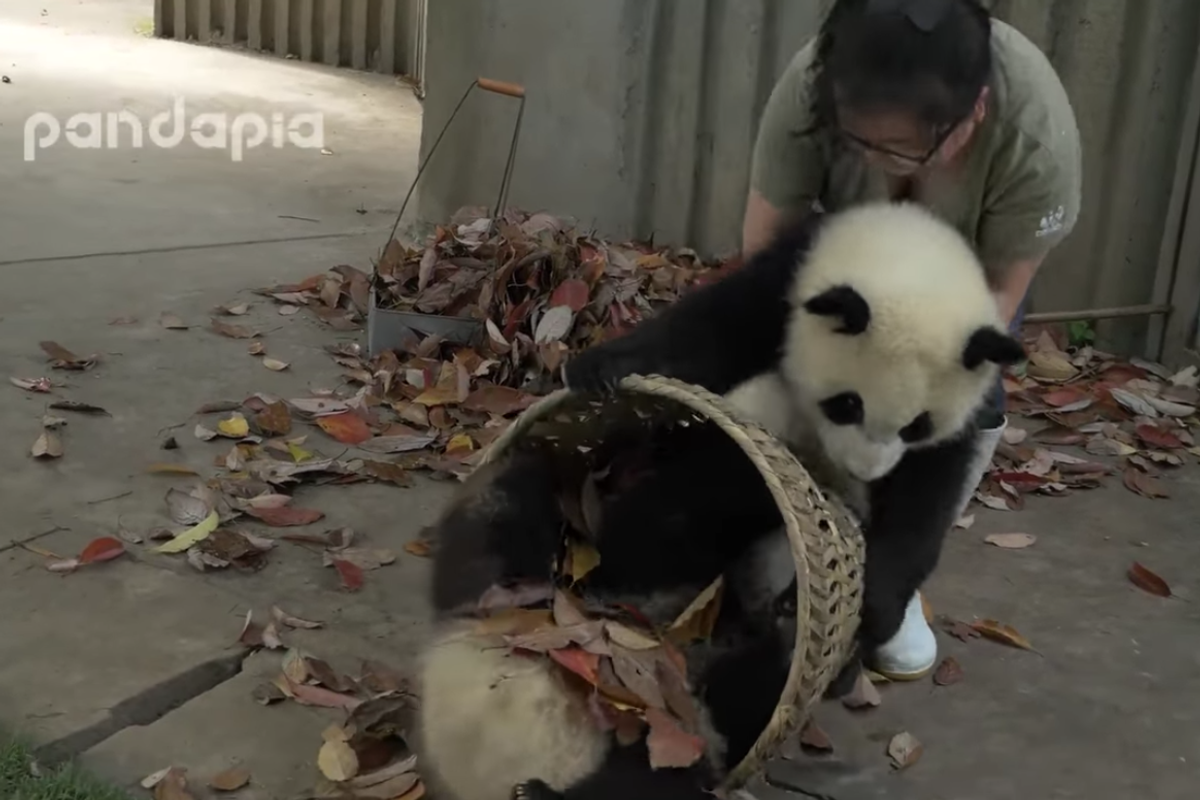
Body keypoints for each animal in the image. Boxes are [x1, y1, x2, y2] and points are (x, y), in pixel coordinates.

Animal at [565, 200, 1027, 685]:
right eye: (847, 404)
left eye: (916, 426)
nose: (863, 472)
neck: (910, 250)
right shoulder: (783, 283)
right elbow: (706, 332)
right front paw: (600, 369)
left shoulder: (956, 423)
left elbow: (922, 504)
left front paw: (876, 608)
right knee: (680, 510)